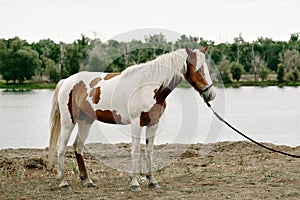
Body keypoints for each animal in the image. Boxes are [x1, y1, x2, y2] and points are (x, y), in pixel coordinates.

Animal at [48, 45, 216, 191]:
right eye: (198, 69)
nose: (211, 94)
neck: (149, 86)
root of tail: (66, 81)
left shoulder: (153, 123)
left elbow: (149, 151)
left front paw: (151, 180)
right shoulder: (136, 123)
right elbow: (135, 151)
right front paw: (134, 183)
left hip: (85, 122)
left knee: (78, 147)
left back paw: (87, 181)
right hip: (68, 122)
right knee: (61, 147)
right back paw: (64, 183)